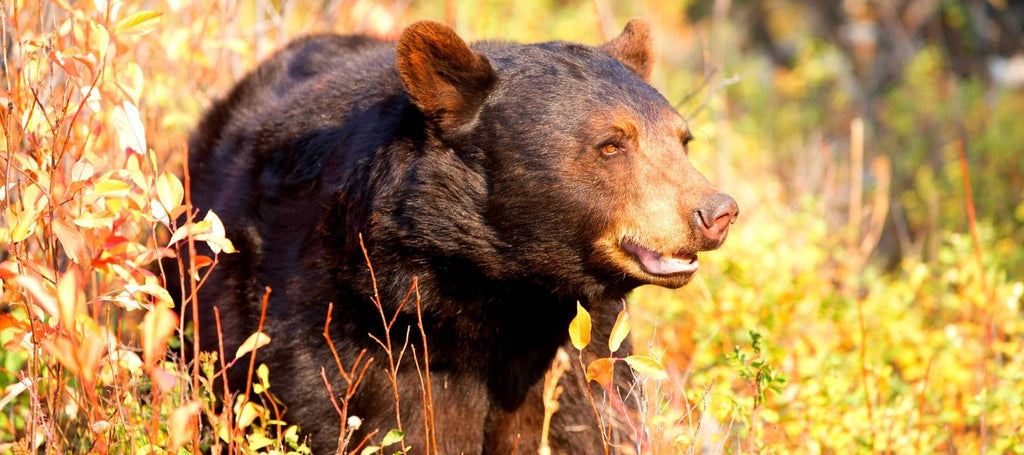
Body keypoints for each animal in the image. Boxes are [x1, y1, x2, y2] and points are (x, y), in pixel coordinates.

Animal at [178, 19, 737, 452]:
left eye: (682, 139)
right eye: (611, 145)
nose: (717, 212)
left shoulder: (579, 348)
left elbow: (587, 422)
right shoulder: (364, 334)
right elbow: (379, 422)